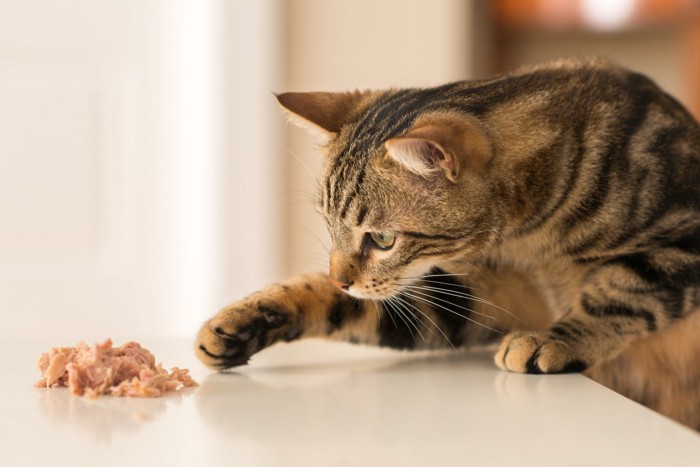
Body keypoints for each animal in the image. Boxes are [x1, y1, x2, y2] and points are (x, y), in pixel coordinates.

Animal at [196, 58, 700, 432]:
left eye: (382, 239)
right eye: (327, 222)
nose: (340, 279)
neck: (528, 243)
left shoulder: (683, 244)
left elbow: (621, 293)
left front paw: (554, 339)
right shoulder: (471, 298)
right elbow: (341, 307)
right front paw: (240, 323)